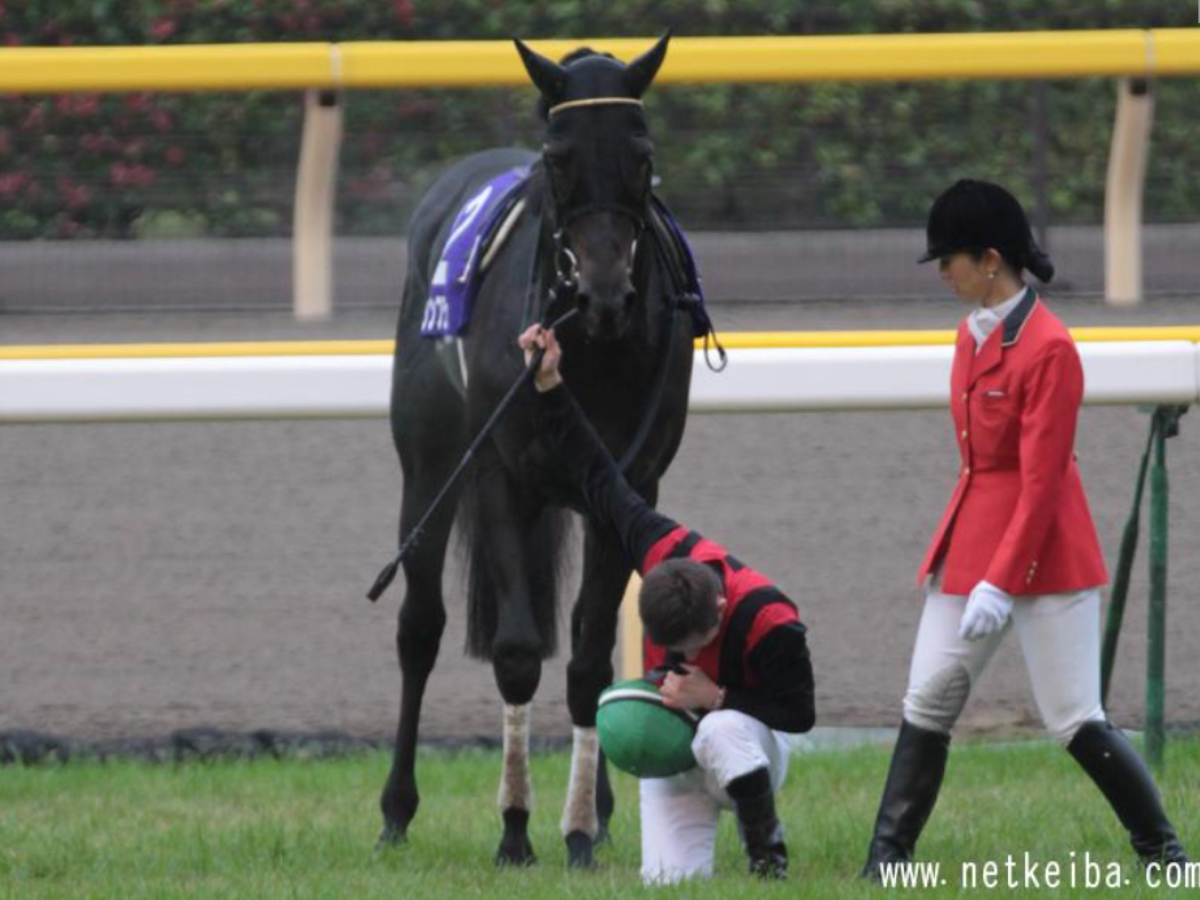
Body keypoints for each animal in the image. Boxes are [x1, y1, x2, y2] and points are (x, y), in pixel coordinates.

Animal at [379, 35, 700, 873]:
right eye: (558, 157)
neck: (591, 350)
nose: (605, 295)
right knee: (418, 627)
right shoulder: (498, 478)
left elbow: (589, 658)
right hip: (428, 469)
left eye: (642, 154)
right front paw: (516, 830)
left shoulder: (631, 482)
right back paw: (395, 811)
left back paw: (608, 811)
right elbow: (520, 653)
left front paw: (581, 830)